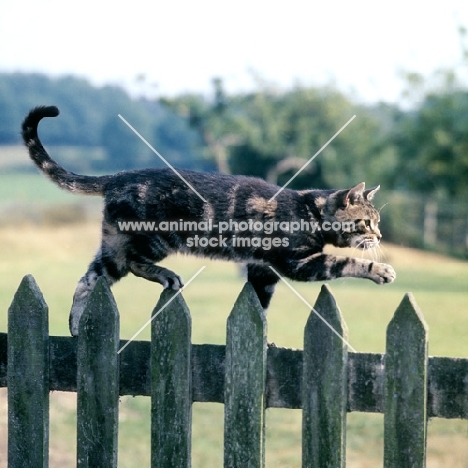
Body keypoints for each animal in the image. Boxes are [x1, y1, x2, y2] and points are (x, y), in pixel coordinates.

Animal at [22, 105, 394, 336]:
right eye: (367, 223)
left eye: (377, 223)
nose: (379, 237)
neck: (310, 211)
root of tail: (118, 176)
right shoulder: (298, 263)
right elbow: (346, 261)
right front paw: (380, 270)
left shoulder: (263, 270)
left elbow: (259, 305)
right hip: (155, 239)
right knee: (131, 263)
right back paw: (166, 276)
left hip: (111, 246)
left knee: (90, 278)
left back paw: (75, 324)